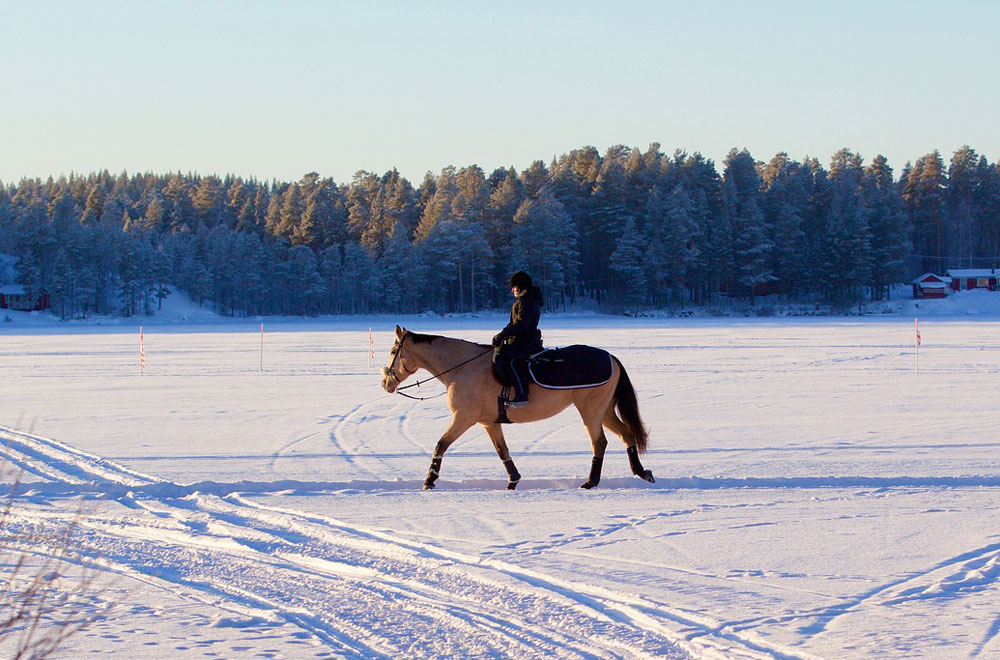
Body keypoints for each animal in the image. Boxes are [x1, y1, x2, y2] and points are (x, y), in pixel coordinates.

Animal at [378, 324, 652, 490]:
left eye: (393, 351)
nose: (385, 384)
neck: (462, 368)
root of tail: (611, 357)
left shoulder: (463, 418)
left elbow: (441, 445)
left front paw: (429, 480)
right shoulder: (489, 423)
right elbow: (502, 451)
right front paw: (513, 480)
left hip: (591, 410)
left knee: (599, 442)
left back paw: (591, 481)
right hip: (604, 410)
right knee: (626, 435)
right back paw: (641, 472)